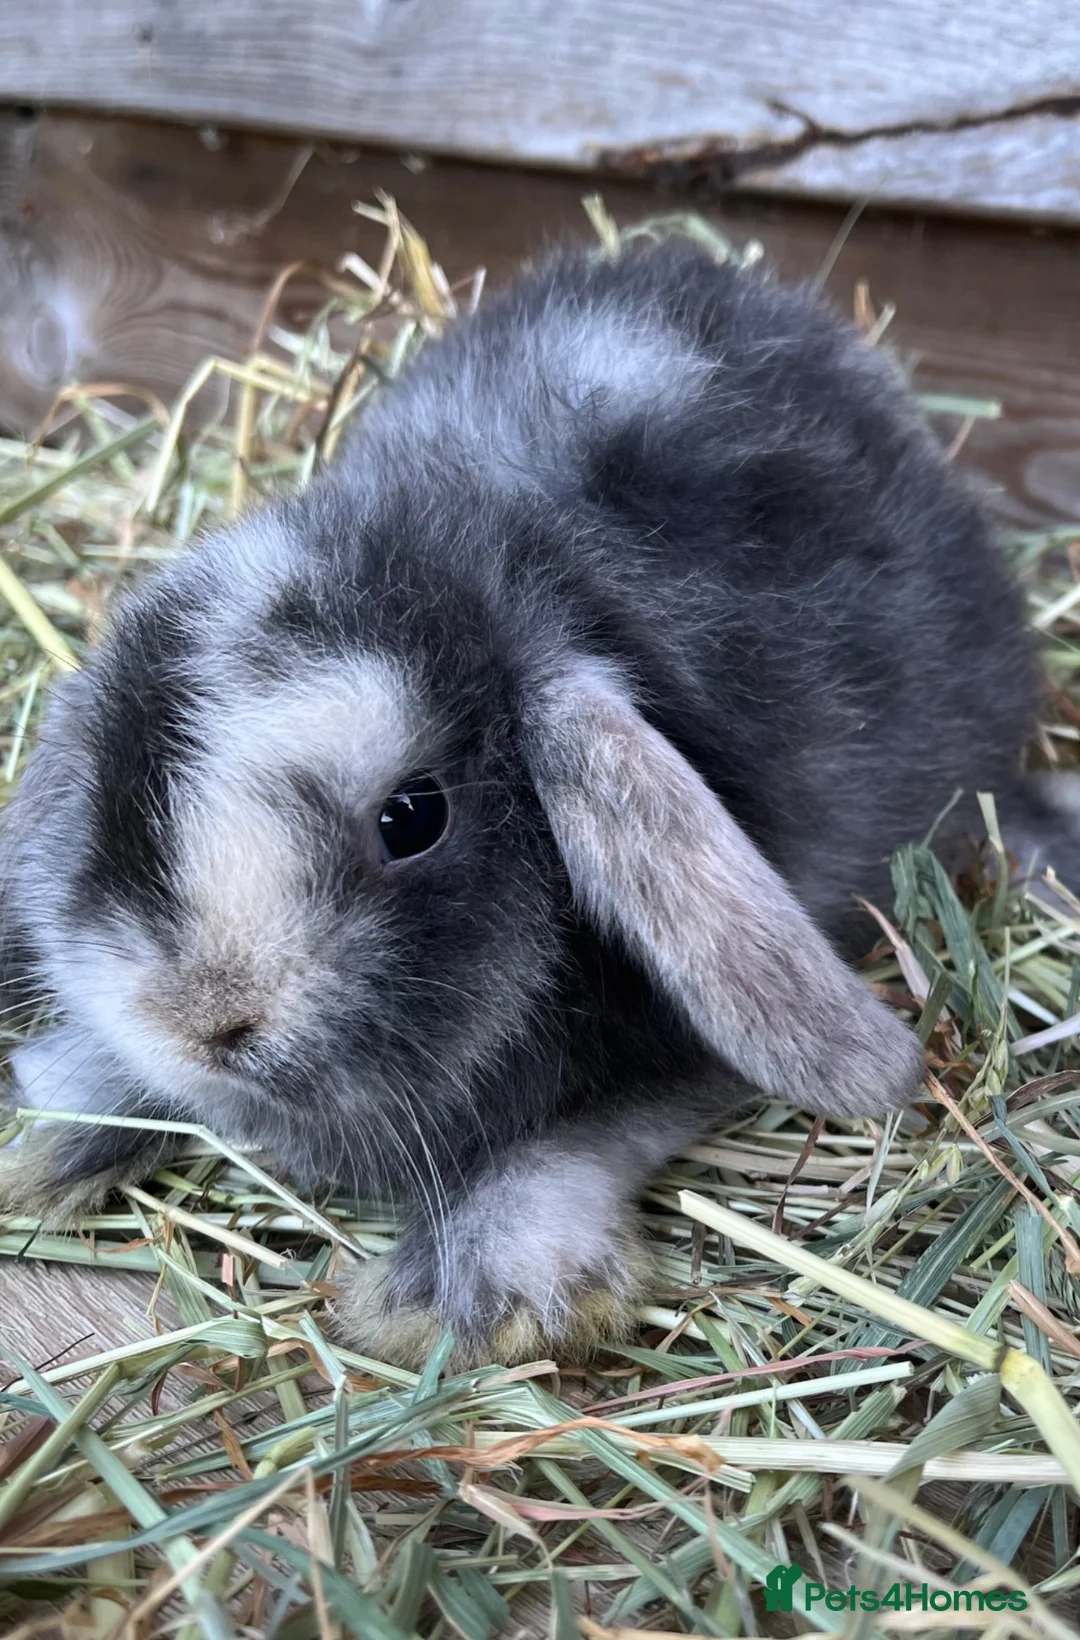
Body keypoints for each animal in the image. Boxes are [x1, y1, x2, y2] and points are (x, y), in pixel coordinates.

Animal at [0, 239, 1071, 1369]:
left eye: (412, 817)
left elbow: (562, 1142)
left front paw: (482, 1297)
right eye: (116, 778)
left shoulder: (677, 1060)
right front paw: (48, 1126)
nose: (206, 1019)